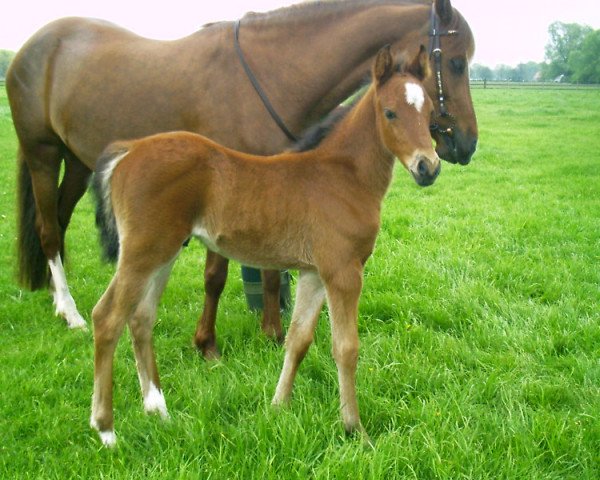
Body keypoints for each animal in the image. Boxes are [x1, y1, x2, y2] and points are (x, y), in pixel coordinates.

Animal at [91, 46, 440, 446]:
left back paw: (159, 412)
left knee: (141, 318)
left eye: (430, 111)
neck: (343, 175)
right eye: (390, 112)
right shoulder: (343, 272)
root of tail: (129, 149)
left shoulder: (313, 273)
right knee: (107, 318)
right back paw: (106, 429)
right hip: (142, 252)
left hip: (163, 253)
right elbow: (346, 347)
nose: (428, 167)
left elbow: (298, 340)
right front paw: (355, 429)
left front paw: (278, 407)